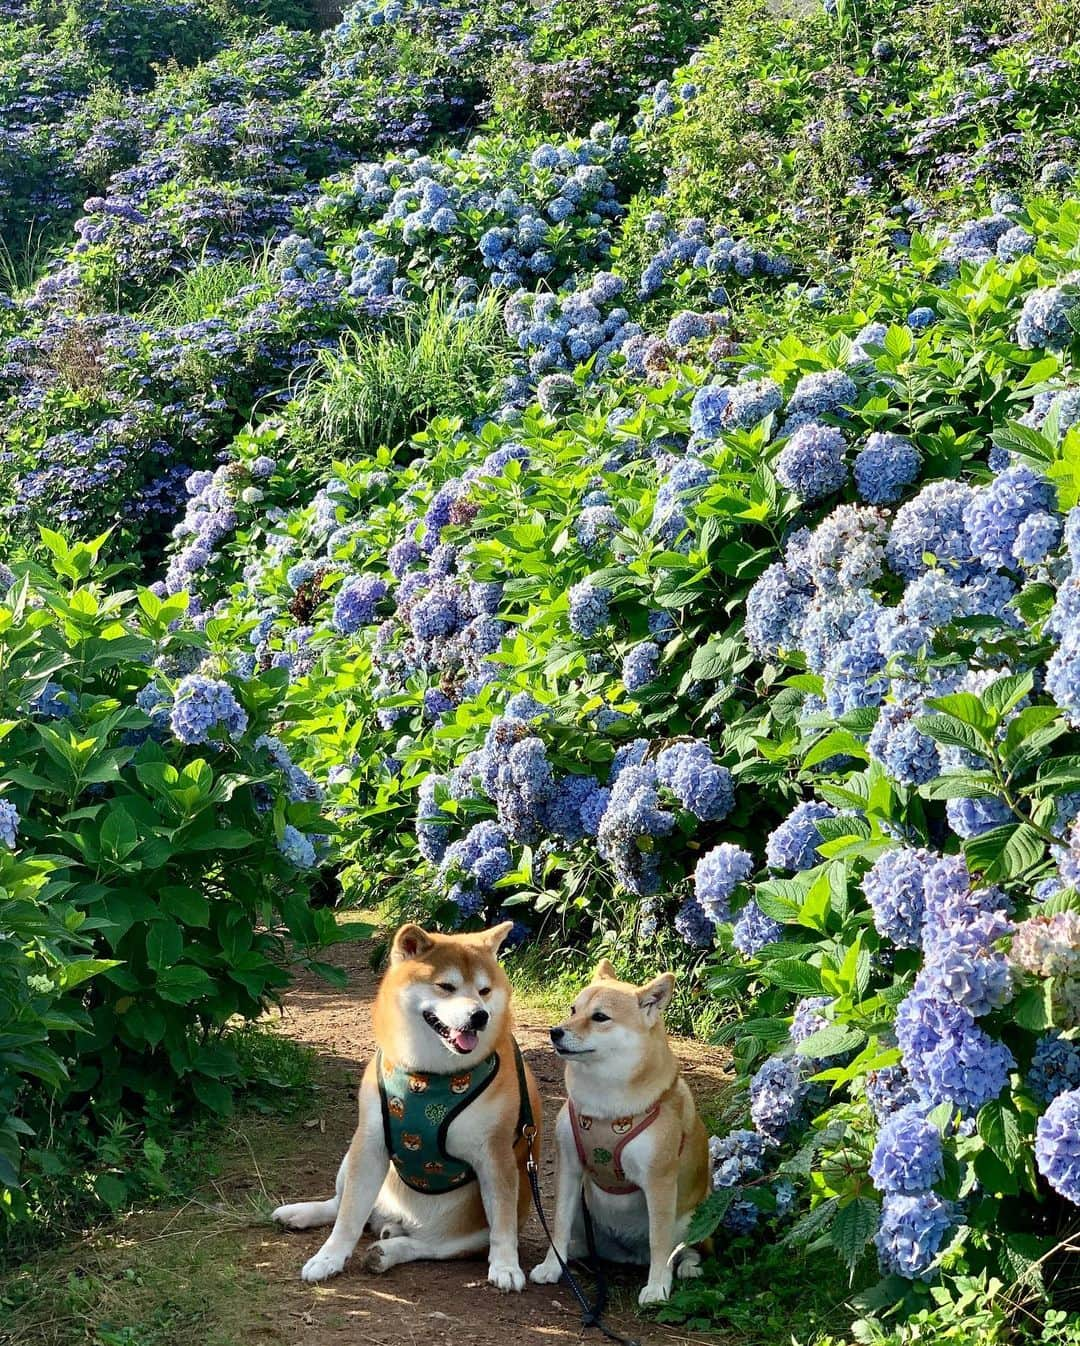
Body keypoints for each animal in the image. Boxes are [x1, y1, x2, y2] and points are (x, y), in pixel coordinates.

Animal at [269, 920, 538, 1286]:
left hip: (464, 1235)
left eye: (484, 991)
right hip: (350, 1159)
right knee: (341, 1205)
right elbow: (348, 1218)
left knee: (427, 1246)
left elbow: (503, 1223)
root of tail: (391, 1221)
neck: (429, 1075)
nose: (479, 1016)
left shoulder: (496, 1157)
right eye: (446, 986)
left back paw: (387, 1252)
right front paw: (328, 1257)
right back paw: (301, 1213)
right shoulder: (370, 1143)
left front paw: (507, 1265)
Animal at [527, 958, 705, 1302]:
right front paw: (553, 1267)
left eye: (599, 1017)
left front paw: (657, 1287)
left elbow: (660, 1240)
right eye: (573, 1009)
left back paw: (685, 1268)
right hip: (585, 1210)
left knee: (682, 1250)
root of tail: (628, 1255)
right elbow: (559, 1225)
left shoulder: (660, 1181)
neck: (604, 1105)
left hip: (693, 1217)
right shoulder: (570, 1167)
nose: (555, 1032)